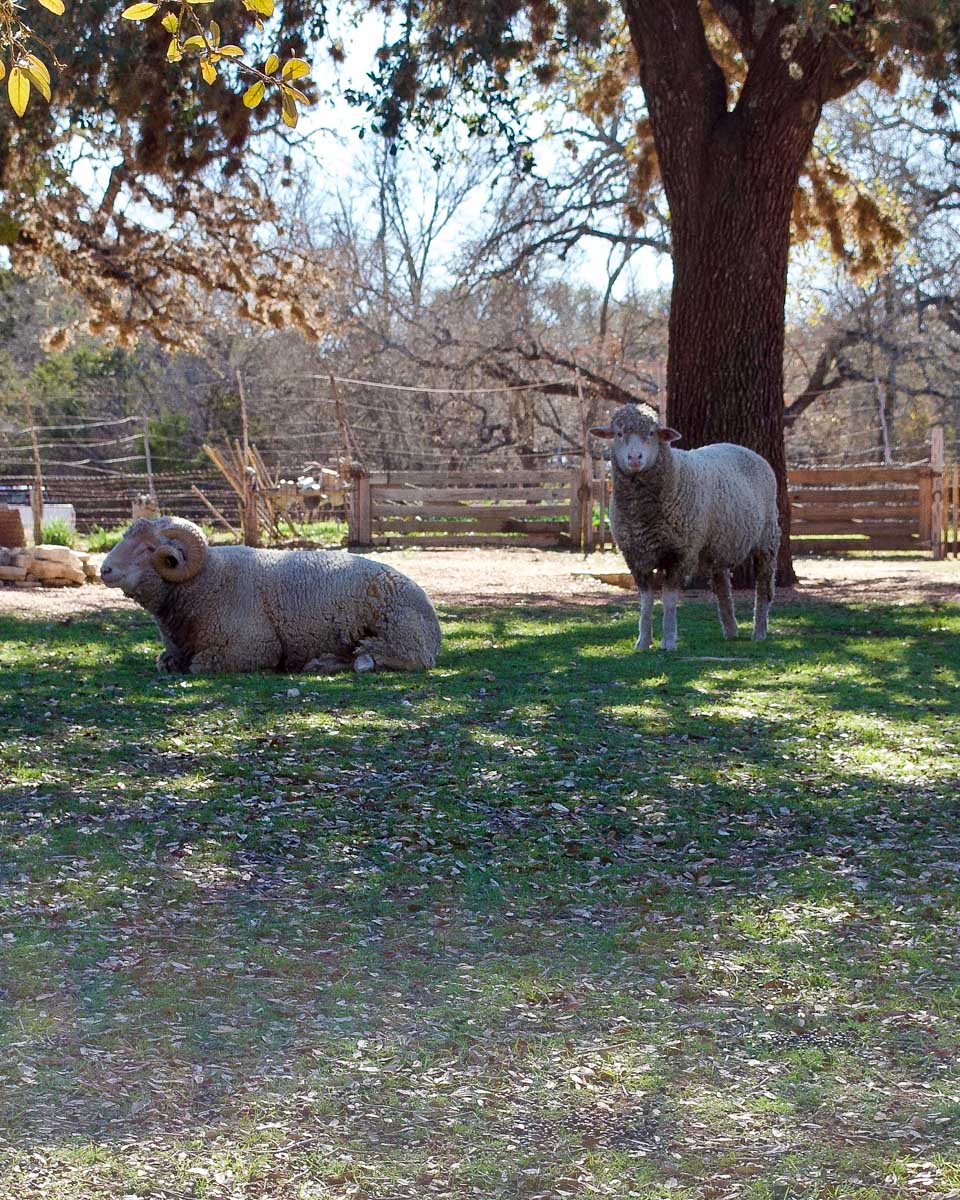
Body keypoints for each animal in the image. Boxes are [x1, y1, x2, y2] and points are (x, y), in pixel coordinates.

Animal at [100, 516, 441, 674]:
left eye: (149, 548)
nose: (104, 569)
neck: (208, 580)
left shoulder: (254, 646)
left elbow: (200, 665)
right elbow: (164, 662)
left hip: (401, 633)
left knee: (401, 659)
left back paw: (354, 659)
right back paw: (323, 663)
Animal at [591, 403, 780, 650]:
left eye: (651, 433)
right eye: (619, 433)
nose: (634, 458)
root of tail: (744, 449)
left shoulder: (680, 553)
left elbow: (670, 599)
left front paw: (669, 641)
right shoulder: (635, 555)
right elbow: (646, 600)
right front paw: (643, 641)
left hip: (767, 539)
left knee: (763, 586)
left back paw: (759, 632)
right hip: (718, 544)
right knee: (722, 587)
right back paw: (730, 631)